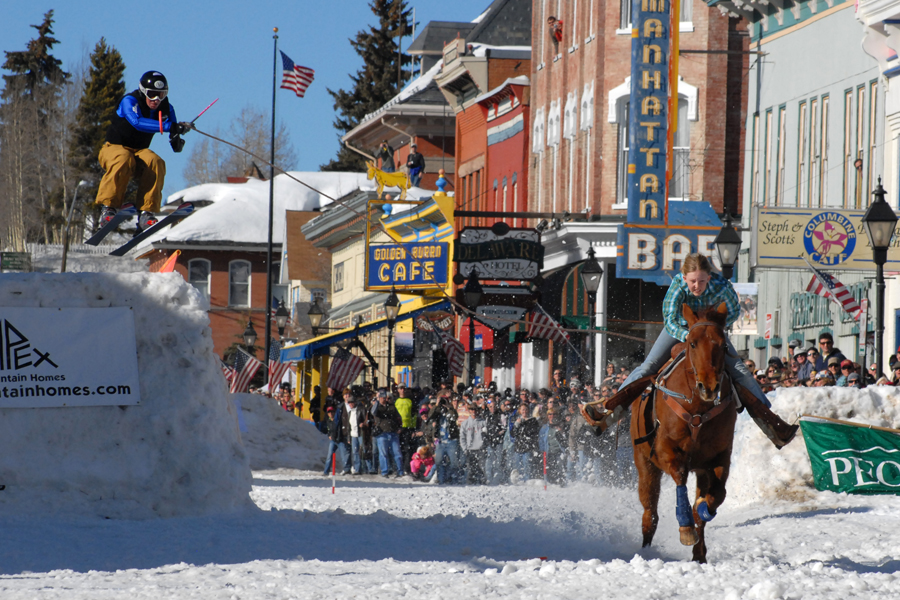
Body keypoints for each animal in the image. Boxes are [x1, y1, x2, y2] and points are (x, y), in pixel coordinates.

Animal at [632, 304, 740, 564]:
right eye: (692, 343)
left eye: (723, 345)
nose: (708, 387)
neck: (698, 409)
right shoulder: (665, 449)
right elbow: (680, 475)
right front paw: (686, 527)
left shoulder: (720, 457)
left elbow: (716, 494)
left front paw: (702, 510)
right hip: (644, 464)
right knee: (650, 513)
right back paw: (647, 551)